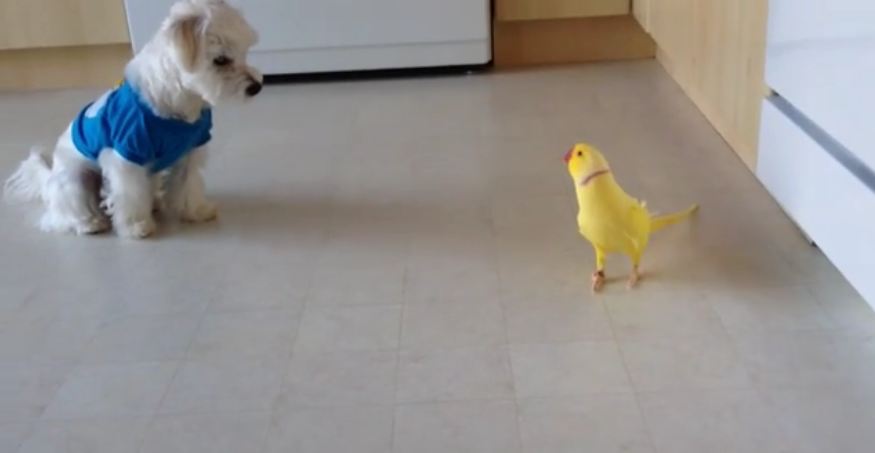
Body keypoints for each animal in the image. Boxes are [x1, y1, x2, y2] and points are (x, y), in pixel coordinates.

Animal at [4, 0, 264, 238]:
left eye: (244, 53)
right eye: (220, 60)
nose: (257, 87)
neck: (179, 102)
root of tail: (49, 179)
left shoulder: (189, 150)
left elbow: (188, 184)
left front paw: (196, 211)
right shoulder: (127, 155)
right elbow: (130, 194)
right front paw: (135, 226)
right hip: (75, 181)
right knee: (64, 216)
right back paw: (89, 223)